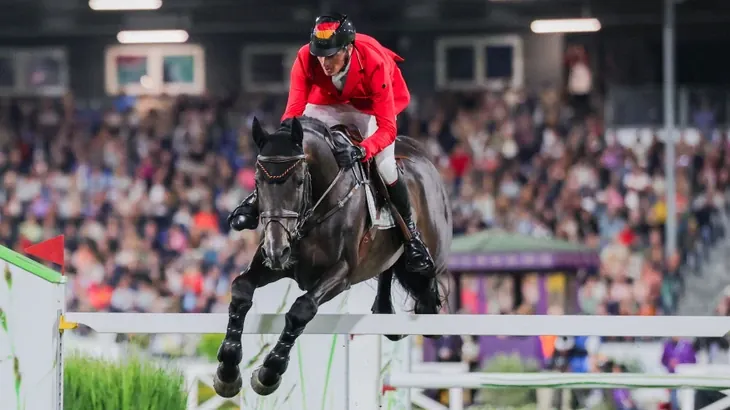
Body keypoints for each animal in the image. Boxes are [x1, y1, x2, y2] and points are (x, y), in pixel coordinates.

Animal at [213, 115, 453, 397]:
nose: (277, 250)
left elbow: (301, 309)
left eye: (299, 181)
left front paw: (269, 373)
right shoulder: (271, 264)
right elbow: (240, 289)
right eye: (257, 181)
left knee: (426, 298)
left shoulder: (341, 274)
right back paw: (384, 311)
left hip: (429, 255)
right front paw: (227, 371)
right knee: (388, 278)